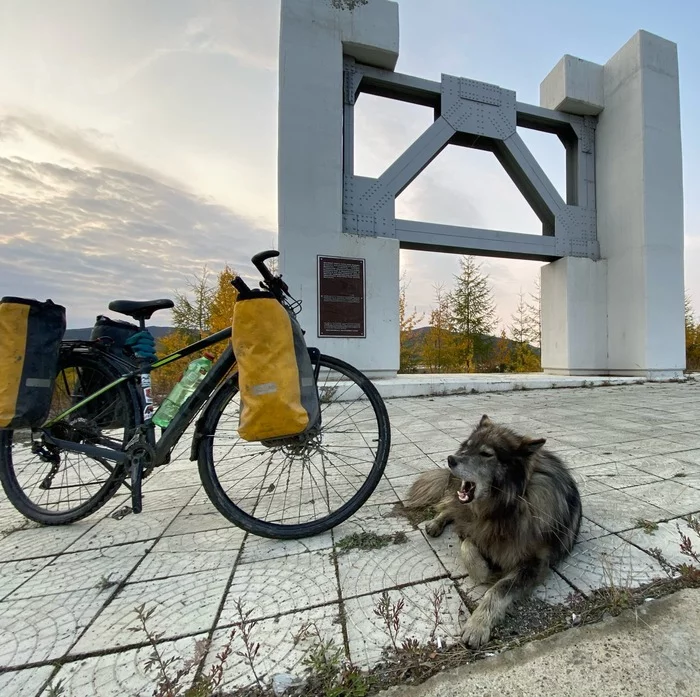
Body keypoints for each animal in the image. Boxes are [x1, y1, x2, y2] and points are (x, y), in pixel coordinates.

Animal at [402, 414, 584, 648]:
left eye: (486, 454)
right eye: (467, 447)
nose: (451, 459)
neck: (505, 506)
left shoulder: (535, 562)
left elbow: (499, 589)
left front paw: (477, 625)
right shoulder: (471, 527)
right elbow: (468, 546)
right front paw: (483, 570)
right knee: (449, 507)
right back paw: (435, 524)